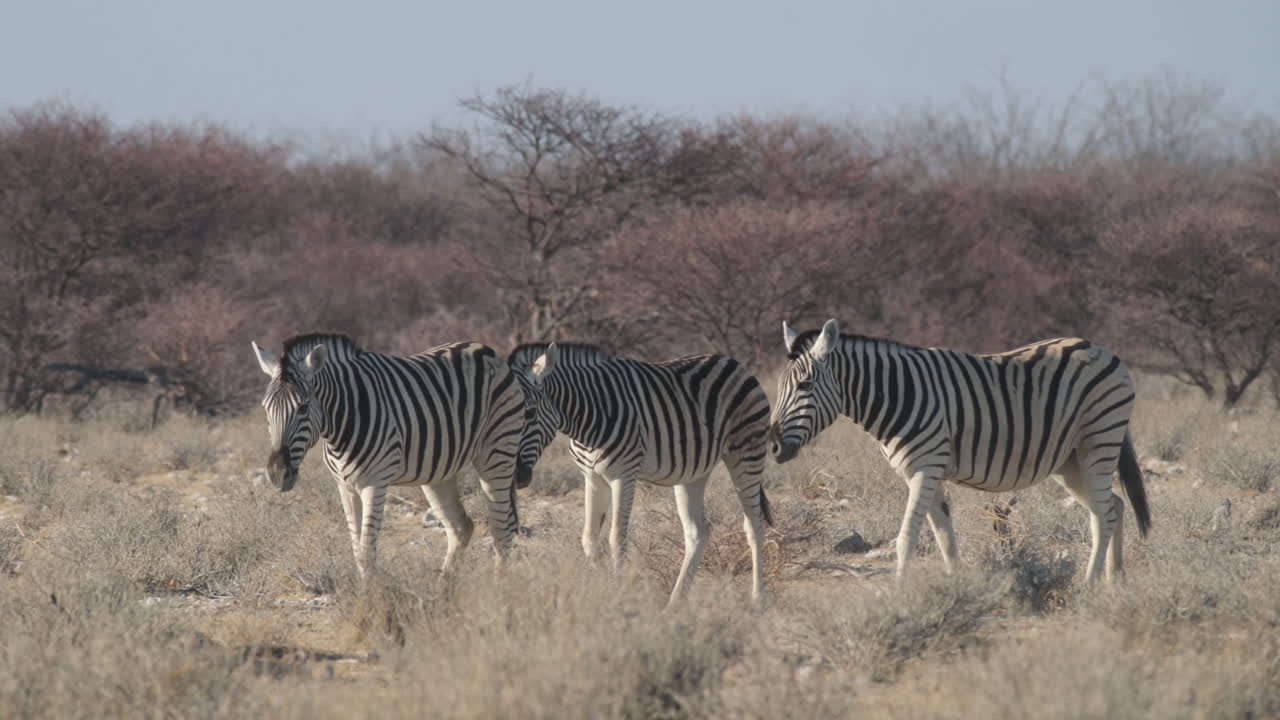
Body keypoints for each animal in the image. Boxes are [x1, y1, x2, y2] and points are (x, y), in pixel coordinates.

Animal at [250, 333, 526, 579]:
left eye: (304, 407)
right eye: (266, 408)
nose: (277, 474)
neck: (341, 426)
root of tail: (483, 348)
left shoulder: (375, 483)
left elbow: (365, 551)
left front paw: (373, 600)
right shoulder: (345, 487)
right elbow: (357, 551)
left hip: (498, 450)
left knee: (501, 529)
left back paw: (500, 588)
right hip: (439, 473)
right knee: (461, 527)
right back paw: (444, 589)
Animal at [511, 342, 774, 605]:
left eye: (530, 413)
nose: (517, 477)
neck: (588, 418)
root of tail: (732, 362)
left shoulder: (623, 475)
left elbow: (616, 538)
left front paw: (616, 595)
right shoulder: (592, 478)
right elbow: (589, 539)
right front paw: (600, 590)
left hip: (747, 451)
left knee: (755, 525)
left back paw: (757, 599)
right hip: (693, 473)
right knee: (697, 532)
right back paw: (675, 601)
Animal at [768, 319, 1151, 584]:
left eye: (805, 385)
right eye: (778, 386)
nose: (772, 444)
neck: (897, 394)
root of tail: (1101, 348)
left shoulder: (925, 467)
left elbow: (907, 537)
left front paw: (898, 593)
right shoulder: (926, 471)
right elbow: (944, 537)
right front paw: (955, 589)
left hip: (1097, 442)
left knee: (1104, 514)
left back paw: (1089, 583)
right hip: (1070, 462)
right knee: (1114, 505)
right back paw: (1114, 581)